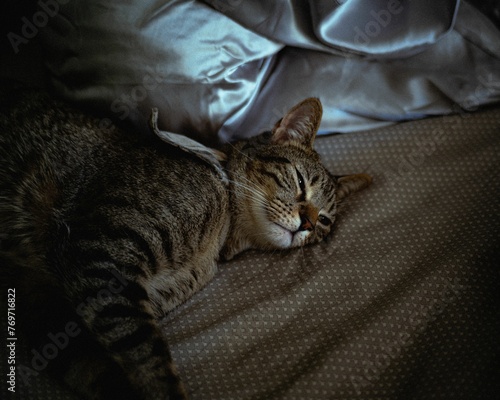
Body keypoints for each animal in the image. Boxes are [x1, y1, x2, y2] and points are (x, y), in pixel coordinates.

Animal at [0, 90, 372, 400]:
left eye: (325, 220)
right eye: (299, 181)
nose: (308, 223)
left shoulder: (50, 310)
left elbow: (100, 370)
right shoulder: (103, 253)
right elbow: (149, 359)